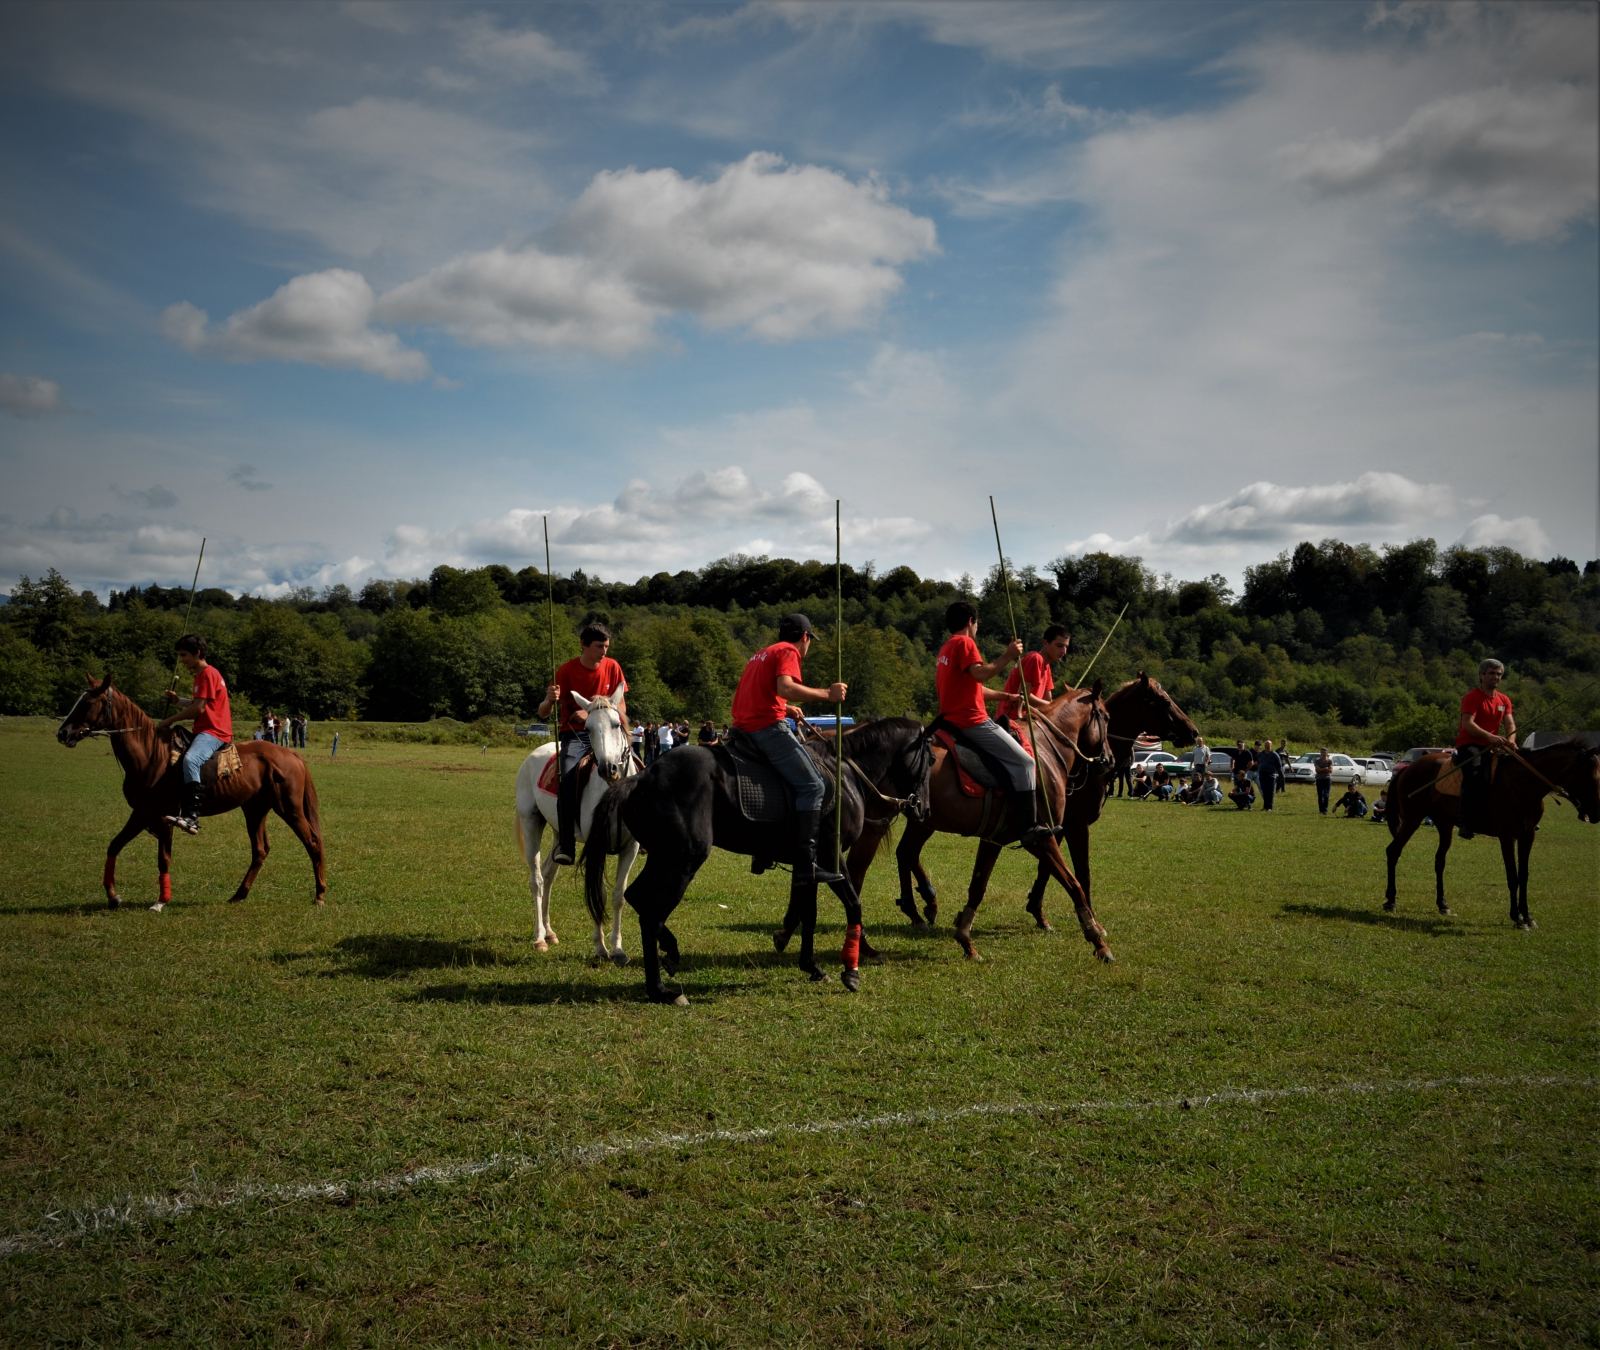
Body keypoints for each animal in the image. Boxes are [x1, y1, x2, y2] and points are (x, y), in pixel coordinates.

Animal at [54, 671, 326, 908]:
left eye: (89, 702)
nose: (62, 732)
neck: (150, 754)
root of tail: (291, 754)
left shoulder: (160, 816)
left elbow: (163, 859)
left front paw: (161, 901)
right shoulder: (142, 813)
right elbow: (114, 845)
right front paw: (113, 896)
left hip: (288, 807)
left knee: (312, 841)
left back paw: (320, 894)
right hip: (254, 809)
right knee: (260, 850)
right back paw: (239, 894)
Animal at [508, 690, 640, 966]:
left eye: (616, 724)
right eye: (587, 728)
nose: (608, 768)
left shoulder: (630, 848)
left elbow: (618, 896)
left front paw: (618, 949)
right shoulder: (596, 848)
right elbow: (598, 893)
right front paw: (600, 948)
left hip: (561, 834)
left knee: (549, 874)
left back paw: (549, 933)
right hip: (531, 822)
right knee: (537, 879)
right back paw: (539, 938)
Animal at [582, 716, 934, 1004]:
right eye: (931, 759)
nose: (923, 809)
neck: (845, 773)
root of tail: (641, 778)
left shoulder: (810, 865)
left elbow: (809, 914)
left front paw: (811, 965)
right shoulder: (831, 858)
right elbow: (853, 906)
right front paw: (851, 969)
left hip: (662, 855)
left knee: (636, 897)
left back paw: (668, 953)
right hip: (682, 859)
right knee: (652, 911)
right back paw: (661, 990)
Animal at [844, 690, 1120, 966]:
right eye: (1106, 717)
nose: (1109, 760)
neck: (1044, 749)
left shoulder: (993, 838)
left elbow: (978, 887)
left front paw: (966, 940)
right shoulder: (1043, 836)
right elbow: (1074, 883)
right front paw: (1098, 940)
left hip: (915, 819)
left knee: (899, 856)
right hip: (876, 825)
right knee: (857, 875)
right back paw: (868, 944)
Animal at [1382, 738, 1593, 927]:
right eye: (1589, 775)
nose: (1593, 813)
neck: (1522, 783)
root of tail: (1408, 769)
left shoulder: (1527, 835)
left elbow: (1523, 875)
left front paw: (1527, 916)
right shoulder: (1507, 836)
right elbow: (1512, 876)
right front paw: (1517, 918)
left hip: (1444, 824)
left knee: (1439, 860)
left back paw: (1443, 905)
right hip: (1412, 818)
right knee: (1393, 851)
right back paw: (1391, 901)